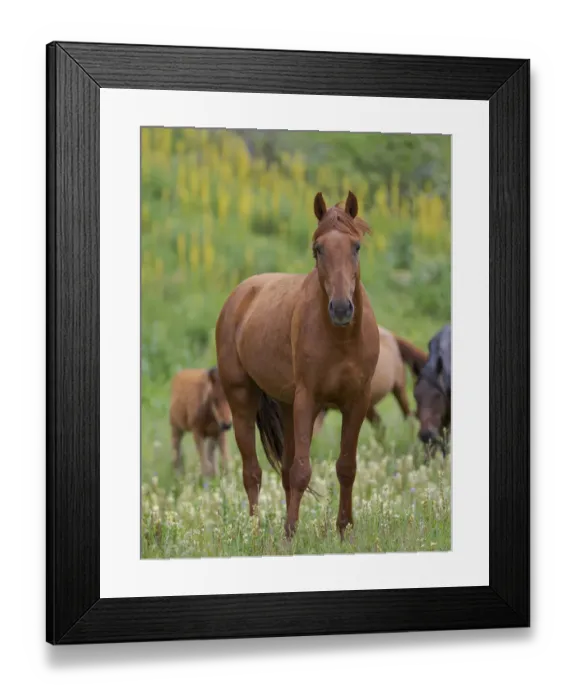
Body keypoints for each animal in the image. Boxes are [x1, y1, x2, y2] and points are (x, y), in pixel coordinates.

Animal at [215, 191, 380, 539]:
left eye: (356, 246)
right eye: (318, 249)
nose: (341, 308)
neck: (341, 339)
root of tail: (241, 294)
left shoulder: (356, 402)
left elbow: (346, 467)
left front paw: (344, 530)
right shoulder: (309, 400)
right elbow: (303, 471)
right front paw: (290, 535)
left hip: (287, 407)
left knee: (285, 471)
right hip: (242, 401)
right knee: (252, 472)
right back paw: (254, 533)